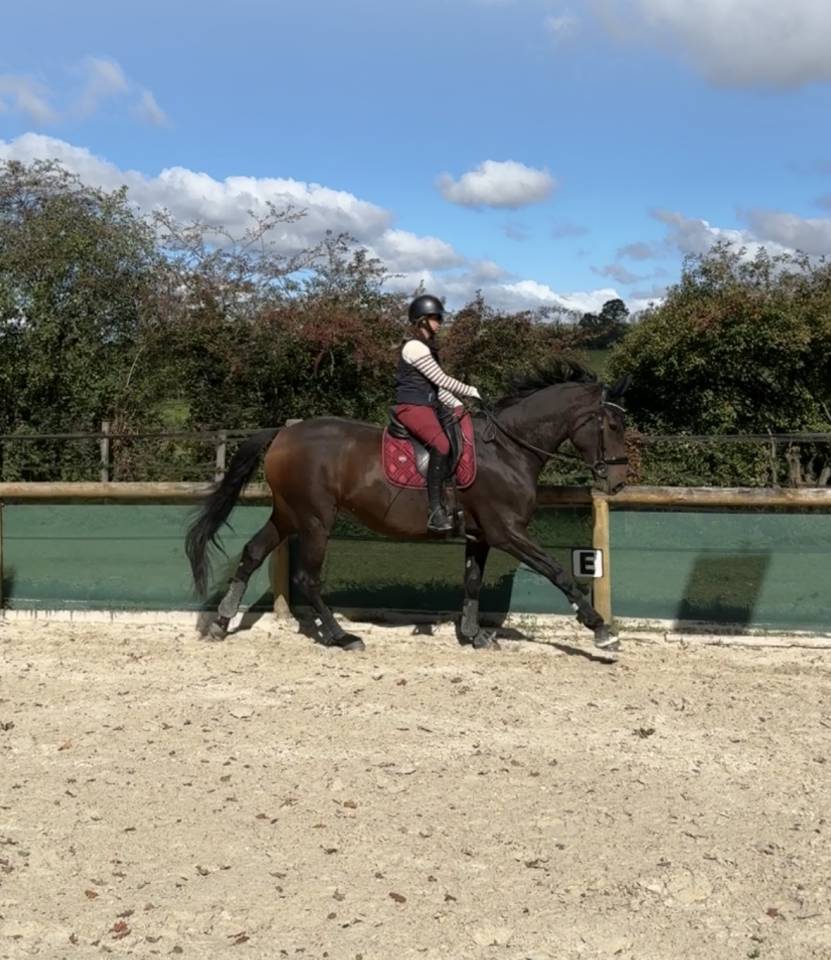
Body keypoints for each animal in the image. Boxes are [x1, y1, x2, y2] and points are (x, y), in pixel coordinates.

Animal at [185, 361, 631, 653]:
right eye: (612, 425)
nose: (618, 481)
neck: (507, 448)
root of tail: (282, 434)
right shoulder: (508, 532)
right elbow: (559, 572)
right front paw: (601, 630)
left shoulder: (482, 536)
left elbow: (472, 583)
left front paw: (473, 634)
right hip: (315, 519)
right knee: (307, 578)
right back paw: (342, 636)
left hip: (288, 514)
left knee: (252, 553)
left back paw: (222, 622)